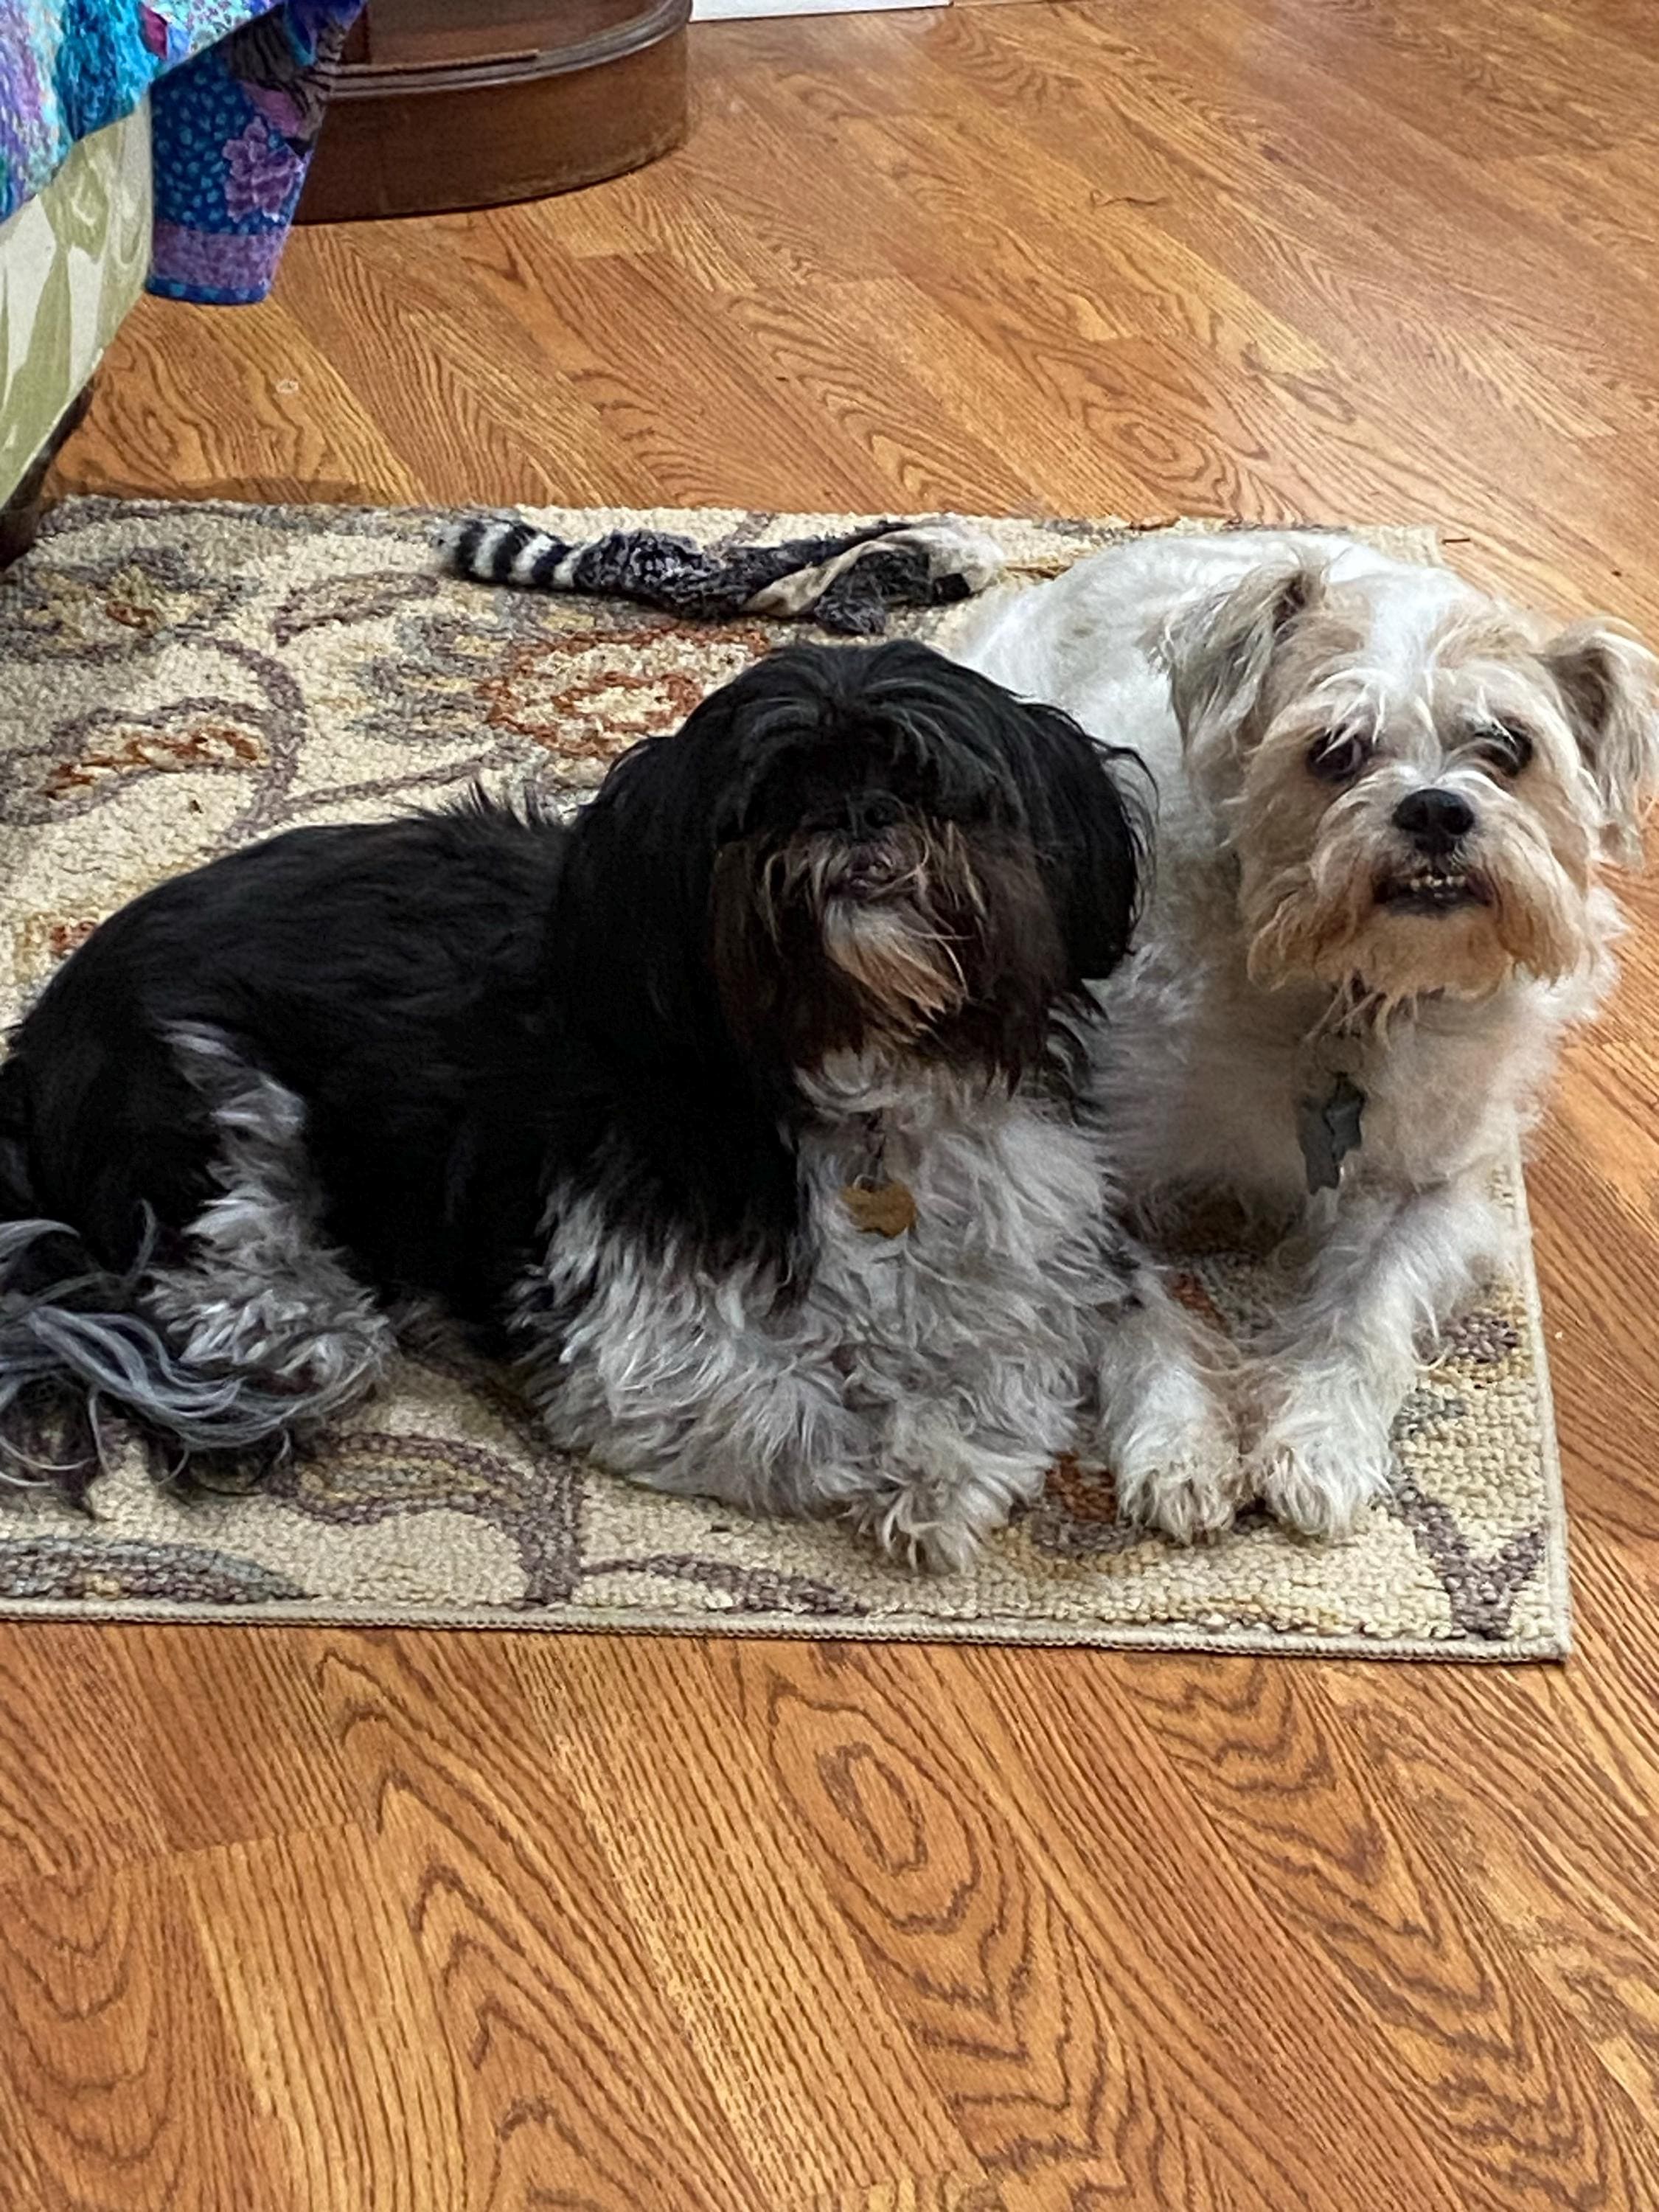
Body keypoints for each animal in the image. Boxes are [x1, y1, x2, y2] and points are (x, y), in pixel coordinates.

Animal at [0, 640, 1237, 1567]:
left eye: (928, 779)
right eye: (769, 800)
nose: (858, 811)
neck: (862, 1087)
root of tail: (39, 1037)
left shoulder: (1033, 1241)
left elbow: (1010, 1360)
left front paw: (956, 1456)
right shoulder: (635, 1342)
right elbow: (803, 1405)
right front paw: (909, 1464)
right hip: (210, 1108)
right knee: (233, 1287)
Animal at [961, 528, 1659, 1537]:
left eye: (1508, 746)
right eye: (1336, 751)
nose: (1436, 809)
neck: (1346, 996)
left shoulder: (1431, 1190)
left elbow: (1365, 1308)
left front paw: (1319, 1443)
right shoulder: (1095, 1165)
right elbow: (1137, 1307)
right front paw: (1179, 1443)